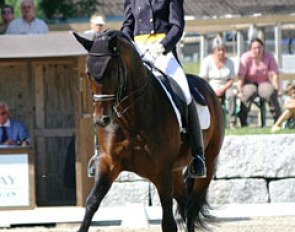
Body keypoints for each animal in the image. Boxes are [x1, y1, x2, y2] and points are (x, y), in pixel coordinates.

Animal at [73, 29, 224, 232]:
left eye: (112, 72)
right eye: (88, 74)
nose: (101, 120)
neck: (131, 119)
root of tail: (208, 87)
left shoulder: (161, 171)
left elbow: (168, 223)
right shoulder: (109, 163)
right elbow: (92, 203)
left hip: (208, 161)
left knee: (191, 208)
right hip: (175, 171)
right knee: (184, 204)